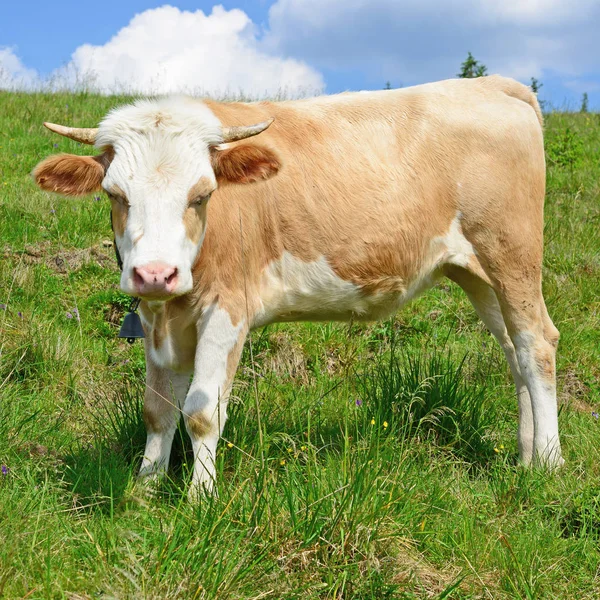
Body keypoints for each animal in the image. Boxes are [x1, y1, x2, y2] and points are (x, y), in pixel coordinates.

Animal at [34, 75, 564, 496]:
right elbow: (157, 410)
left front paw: (199, 500)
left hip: (511, 254)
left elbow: (202, 411)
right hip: (477, 273)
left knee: (536, 344)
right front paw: (145, 490)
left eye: (202, 195)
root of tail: (494, 84)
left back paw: (550, 463)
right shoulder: (154, 316)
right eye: (115, 194)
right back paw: (525, 457)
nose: (156, 273)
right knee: (513, 350)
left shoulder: (228, 308)